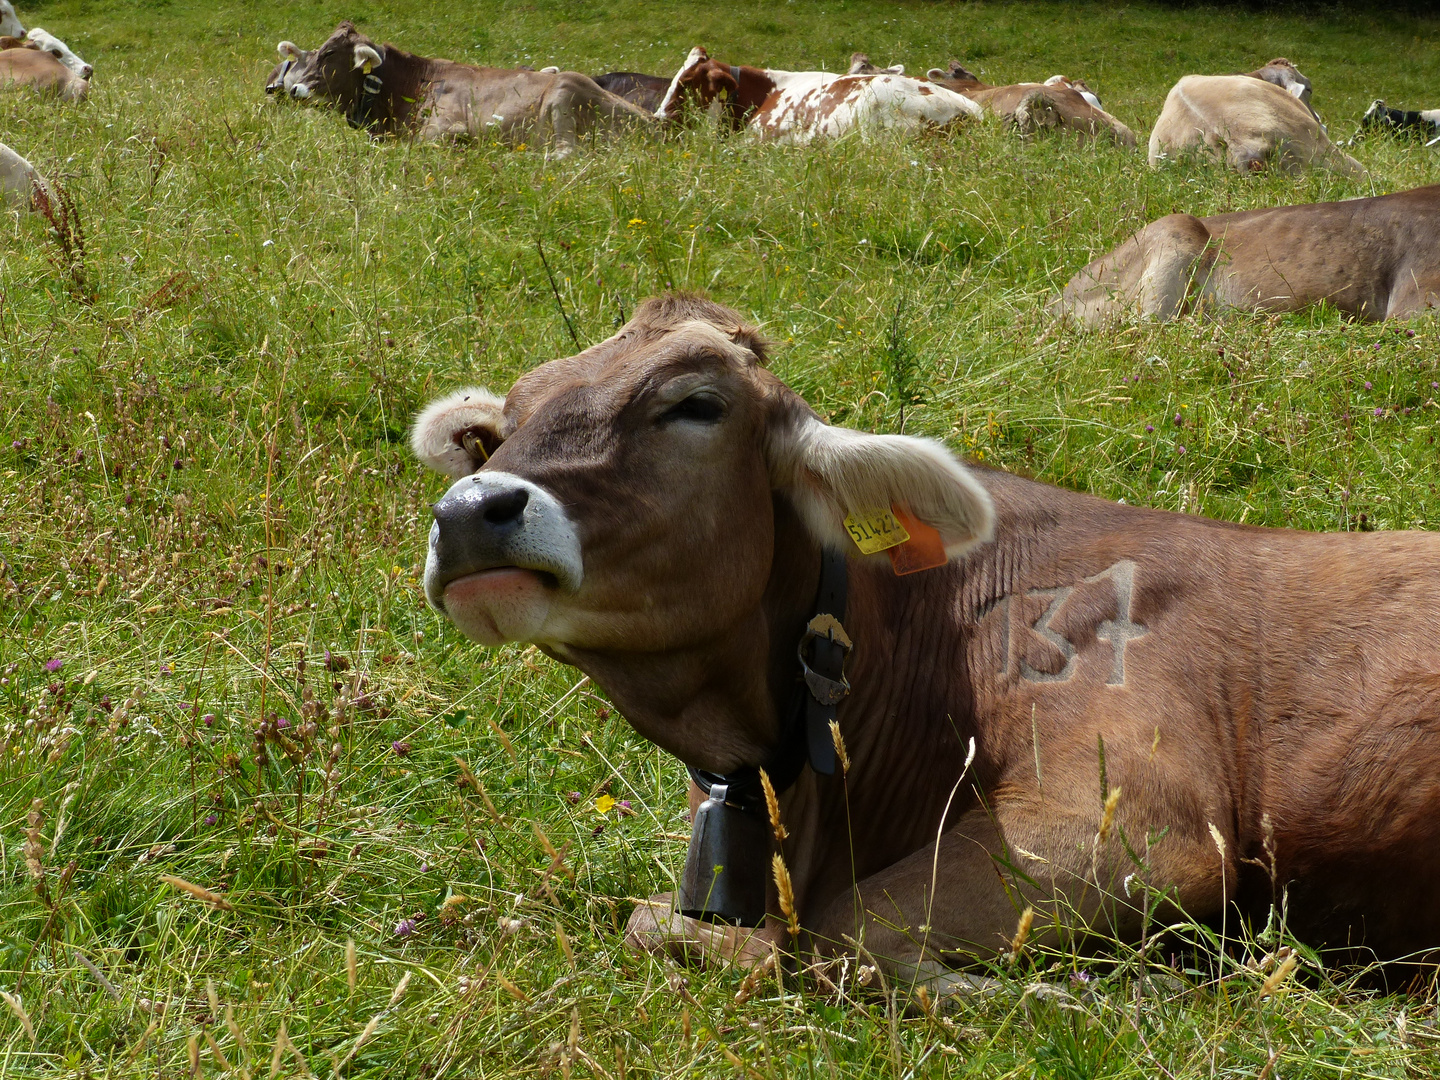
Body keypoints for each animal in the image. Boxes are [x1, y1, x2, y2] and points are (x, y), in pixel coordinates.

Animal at [280, 21, 653, 155]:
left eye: (329, 54)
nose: (292, 89)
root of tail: (654, 122)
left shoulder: (447, 129)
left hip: (565, 91)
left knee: (565, 153)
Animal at [414, 292, 1440, 996]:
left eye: (695, 404)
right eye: (501, 430)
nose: (472, 508)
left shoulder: (1146, 824)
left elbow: (844, 937)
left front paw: (1117, 991)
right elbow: (658, 924)